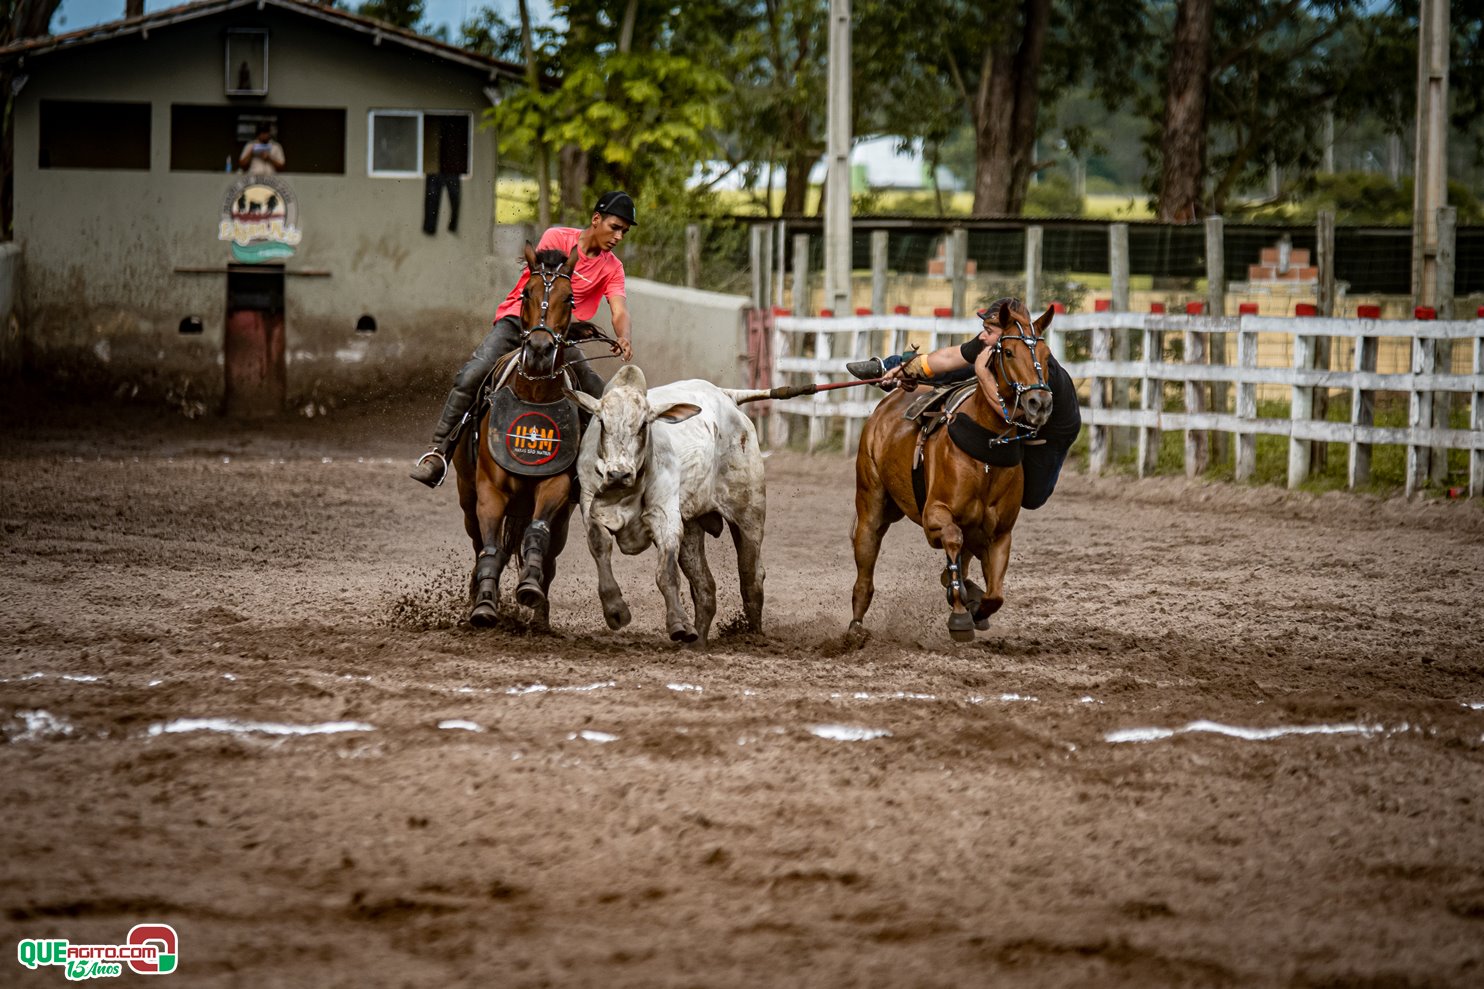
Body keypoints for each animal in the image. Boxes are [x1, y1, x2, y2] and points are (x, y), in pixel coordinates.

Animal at [451, 243, 590, 630]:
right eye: (526, 292)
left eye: (570, 298)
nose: (541, 350)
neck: (535, 396)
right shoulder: (489, 489)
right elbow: (490, 549)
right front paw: (484, 603)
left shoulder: (556, 486)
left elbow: (537, 534)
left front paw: (529, 588)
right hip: (466, 495)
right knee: (480, 543)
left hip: (564, 518)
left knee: (550, 555)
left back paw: (539, 615)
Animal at [567, 364, 765, 645]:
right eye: (603, 422)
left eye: (643, 425)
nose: (618, 474)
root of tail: (727, 397)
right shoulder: (590, 505)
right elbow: (600, 546)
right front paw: (615, 609)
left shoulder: (665, 517)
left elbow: (666, 573)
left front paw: (678, 624)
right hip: (693, 527)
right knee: (704, 586)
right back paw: (699, 643)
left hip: (749, 513)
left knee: (751, 576)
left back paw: (753, 636)